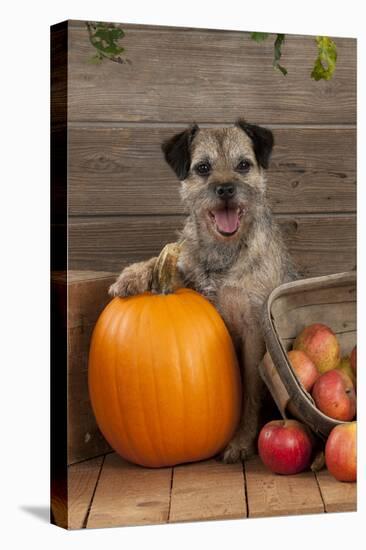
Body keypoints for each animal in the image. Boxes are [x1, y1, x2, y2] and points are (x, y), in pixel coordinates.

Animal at [108, 119, 294, 462]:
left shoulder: (253, 330)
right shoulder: (186, 273)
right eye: (203, 168)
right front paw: (131, 275)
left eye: (243, 165)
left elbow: (250, 390)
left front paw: (240, 441)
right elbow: (166, 262)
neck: (224, 251)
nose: (225, 190)